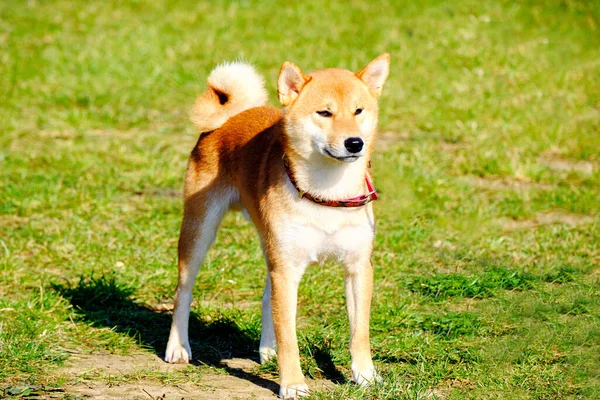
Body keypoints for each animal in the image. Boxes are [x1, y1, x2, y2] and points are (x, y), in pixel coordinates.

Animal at [165, 54, 390, 398]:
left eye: (358, 111)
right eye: (325, 113)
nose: (355, 143)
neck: (328, 193)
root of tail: (231, 116)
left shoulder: (357, 266)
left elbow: (359, 332)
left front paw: (365, 376)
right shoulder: (287, 269)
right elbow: (290, 338)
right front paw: (293, 383)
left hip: (271, 247)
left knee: (266, 299)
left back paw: (267, 350)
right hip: (200, 232)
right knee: (183, 292)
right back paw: (178, 348)